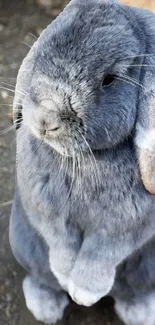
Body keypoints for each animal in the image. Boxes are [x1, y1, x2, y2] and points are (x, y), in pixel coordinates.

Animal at [8, 0, 155, 322]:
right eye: (41, 51)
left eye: (109, 79)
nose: (45, 120)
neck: (84, 159)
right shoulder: (45, 210)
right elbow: (60, 242)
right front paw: (66, 278)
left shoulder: (125, 227)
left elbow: (102, 253)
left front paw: (84, 293)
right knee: (40, 277)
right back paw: (45, 308)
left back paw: (140, 312)